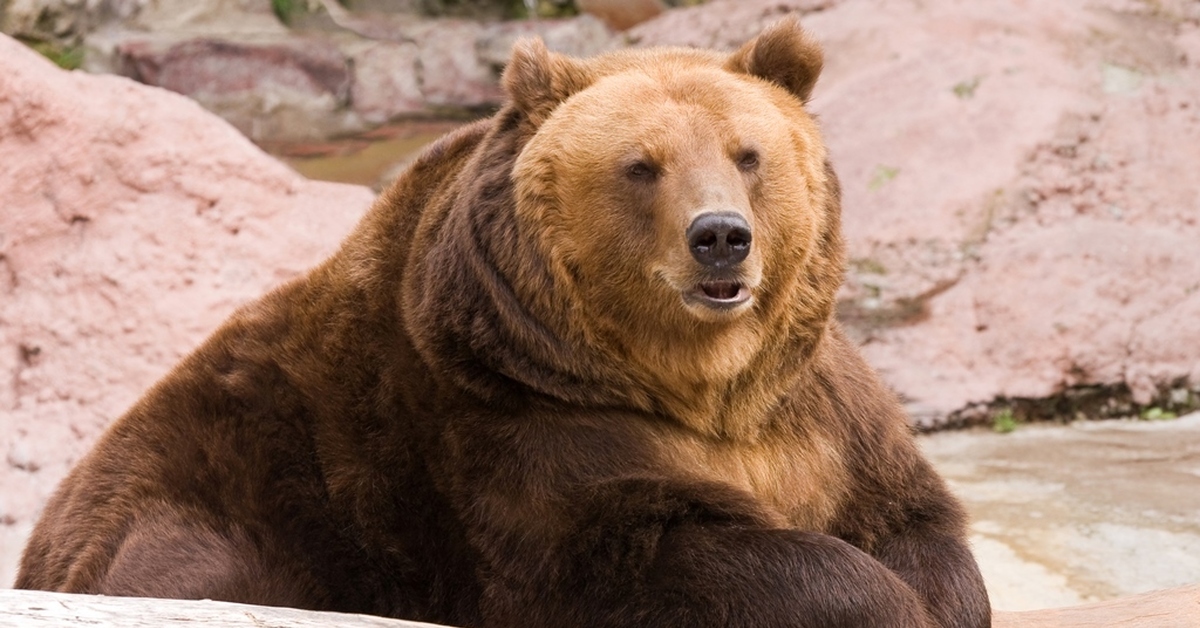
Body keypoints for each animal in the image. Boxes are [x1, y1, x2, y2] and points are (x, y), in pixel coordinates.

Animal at [18, 19, 988, 628]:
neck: (698, 385)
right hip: (189, 509)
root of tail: (41, 532)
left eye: (748, 155)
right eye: (642, 165)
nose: (721, 237)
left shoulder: (816, 422)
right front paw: (883, 606)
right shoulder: (517, 428)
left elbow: (913, 524)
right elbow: (661, 553)